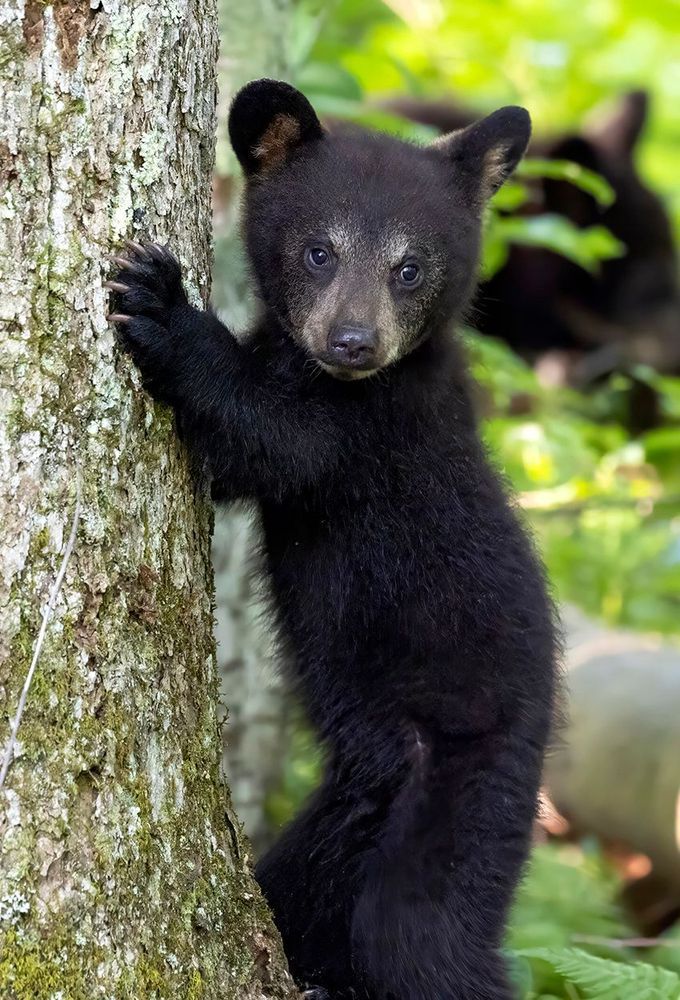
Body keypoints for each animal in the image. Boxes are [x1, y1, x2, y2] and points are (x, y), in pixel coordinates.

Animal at [107, 79, 558, 1000]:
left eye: (409, 267)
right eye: (319, 252)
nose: (354, 341)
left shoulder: (365, 433)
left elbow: (267, 436)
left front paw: (161, 301)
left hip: (461, 790)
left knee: (421, 940)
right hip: (357, 798)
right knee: (311, 881)